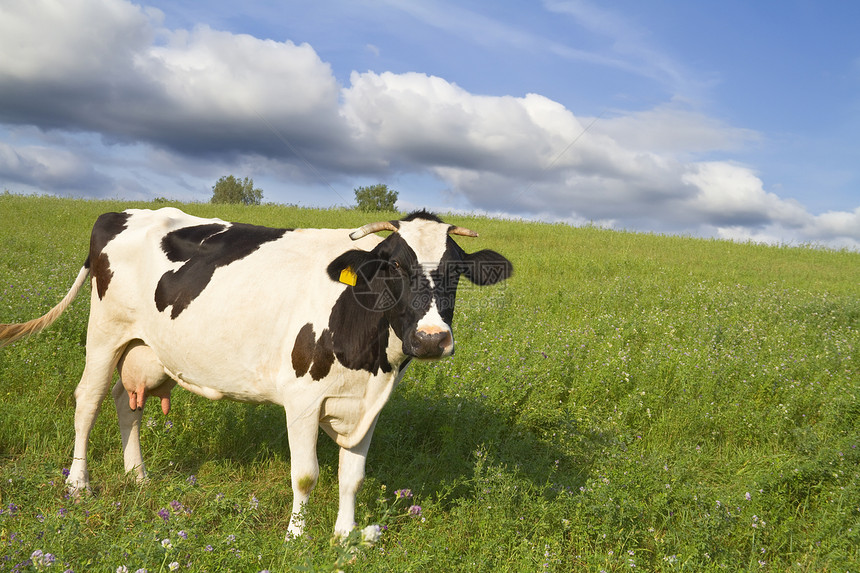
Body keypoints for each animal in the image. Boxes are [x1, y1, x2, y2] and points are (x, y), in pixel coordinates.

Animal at [0, 208, 510, 540]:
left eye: (457, 271)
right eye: (395, 266)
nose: (431, 339)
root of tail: (120, 211)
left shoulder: (368, 402)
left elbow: (353, 476)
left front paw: (344, 538)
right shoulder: (303, 399)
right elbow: (306, 475)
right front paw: (296, 539)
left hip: (144, 347)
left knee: (129, 406)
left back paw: (139, 477)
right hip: (105, 334)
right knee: (87, 401)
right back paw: (78, 485)